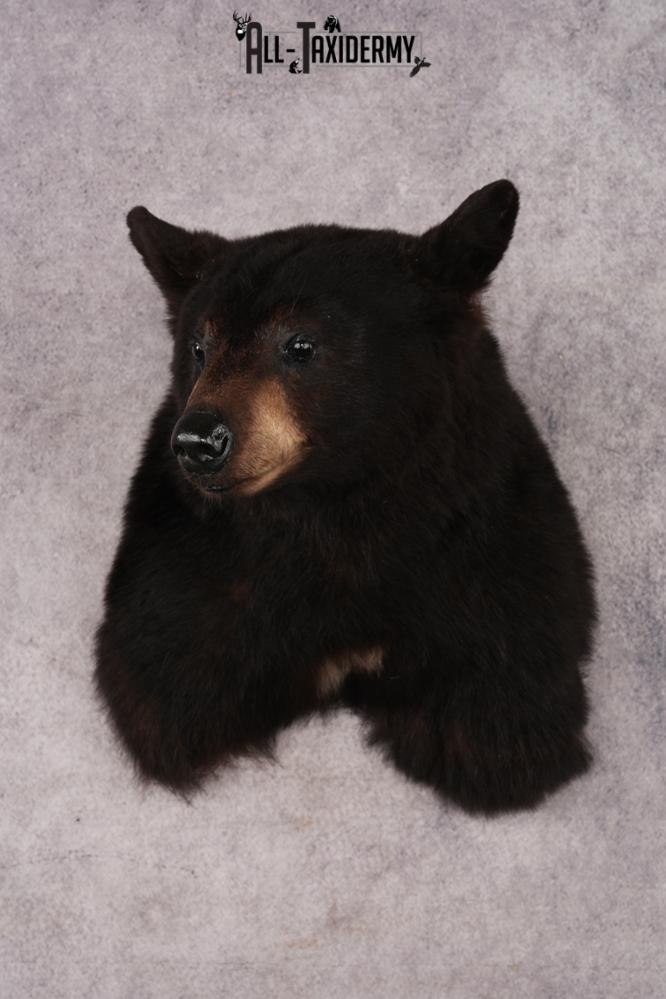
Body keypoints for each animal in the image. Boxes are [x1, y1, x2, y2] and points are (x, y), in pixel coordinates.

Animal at [94, 180, 598, 814]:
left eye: (301, 345)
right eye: (198, 347)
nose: (197, 440)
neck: (335, 507)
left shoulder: (494, 547)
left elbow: (501, 715)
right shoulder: (178, 574)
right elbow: (167, 680)